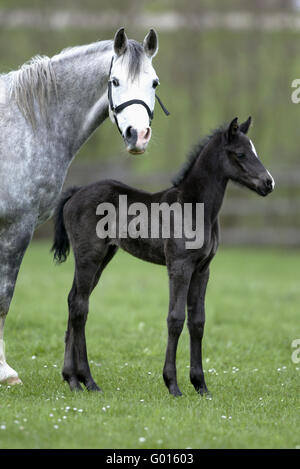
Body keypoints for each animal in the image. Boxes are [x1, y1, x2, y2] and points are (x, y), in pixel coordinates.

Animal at [0, 26, 163, 384]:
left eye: (155, 83)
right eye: (115, 81)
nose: (138, 135)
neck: (26, 123)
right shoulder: (17, 226)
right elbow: (4, 296)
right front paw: (4, 372)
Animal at [52, 117, 274, 394]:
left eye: (255, 150)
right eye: (241, 153)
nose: (269, 183)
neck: (193, 208)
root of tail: (76, 193)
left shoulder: (202, 269)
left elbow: (198, 321)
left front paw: (201, 385)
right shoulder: (179, 266)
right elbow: (176, 318)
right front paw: (173, 384)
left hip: (103, 257)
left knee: (73, 301)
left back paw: (72, 379)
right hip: (89, 256)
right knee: (81, 307)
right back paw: (88, 380)